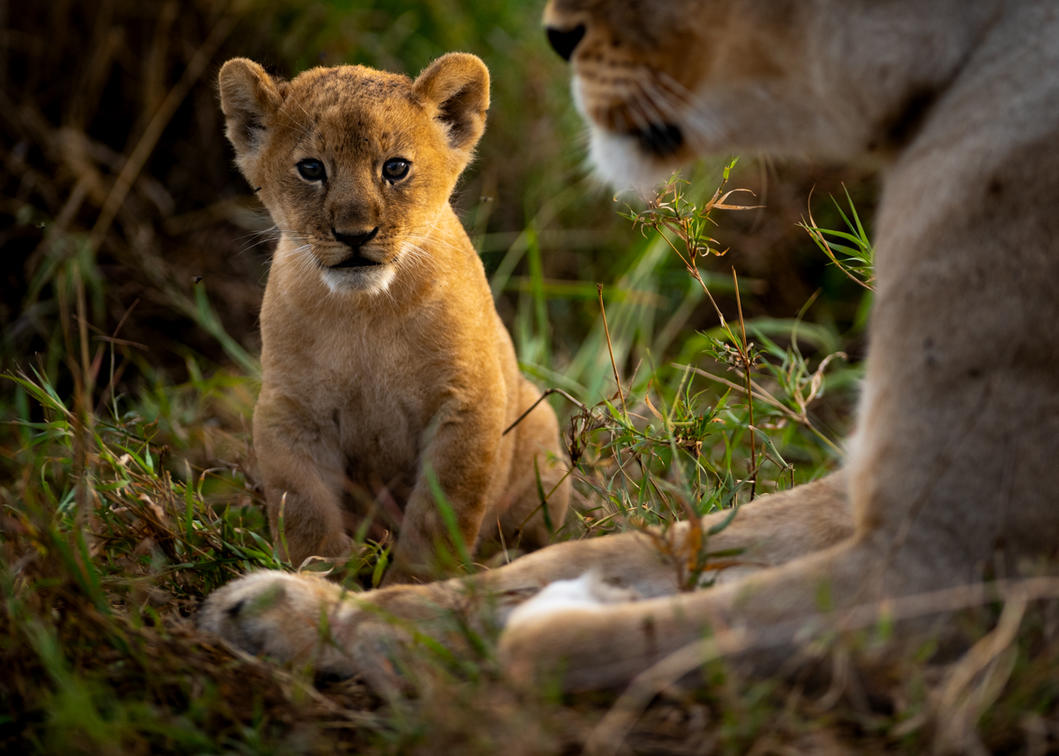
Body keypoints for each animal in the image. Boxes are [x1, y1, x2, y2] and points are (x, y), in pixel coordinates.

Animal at [215, 53, 569, 583]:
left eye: (396, 168)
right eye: (311, 168)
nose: (354, 233)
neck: (367, 313)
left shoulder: (467, 402)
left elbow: (440, 512)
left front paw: (416, 583)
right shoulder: (289, 407)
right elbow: (301, 505)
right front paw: (319, 575)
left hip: (543, 434)